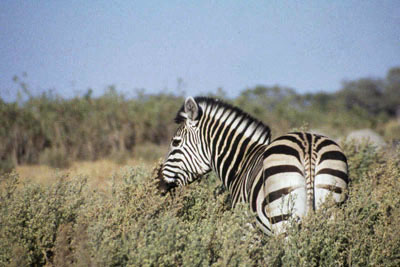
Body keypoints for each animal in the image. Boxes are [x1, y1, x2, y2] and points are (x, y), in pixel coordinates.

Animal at [159, 97, 346, 234]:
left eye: (175, 142)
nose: (160, 185)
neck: (241, 163)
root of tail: (308, 145)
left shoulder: (248, 228)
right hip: (332, 214)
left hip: (284, 219)